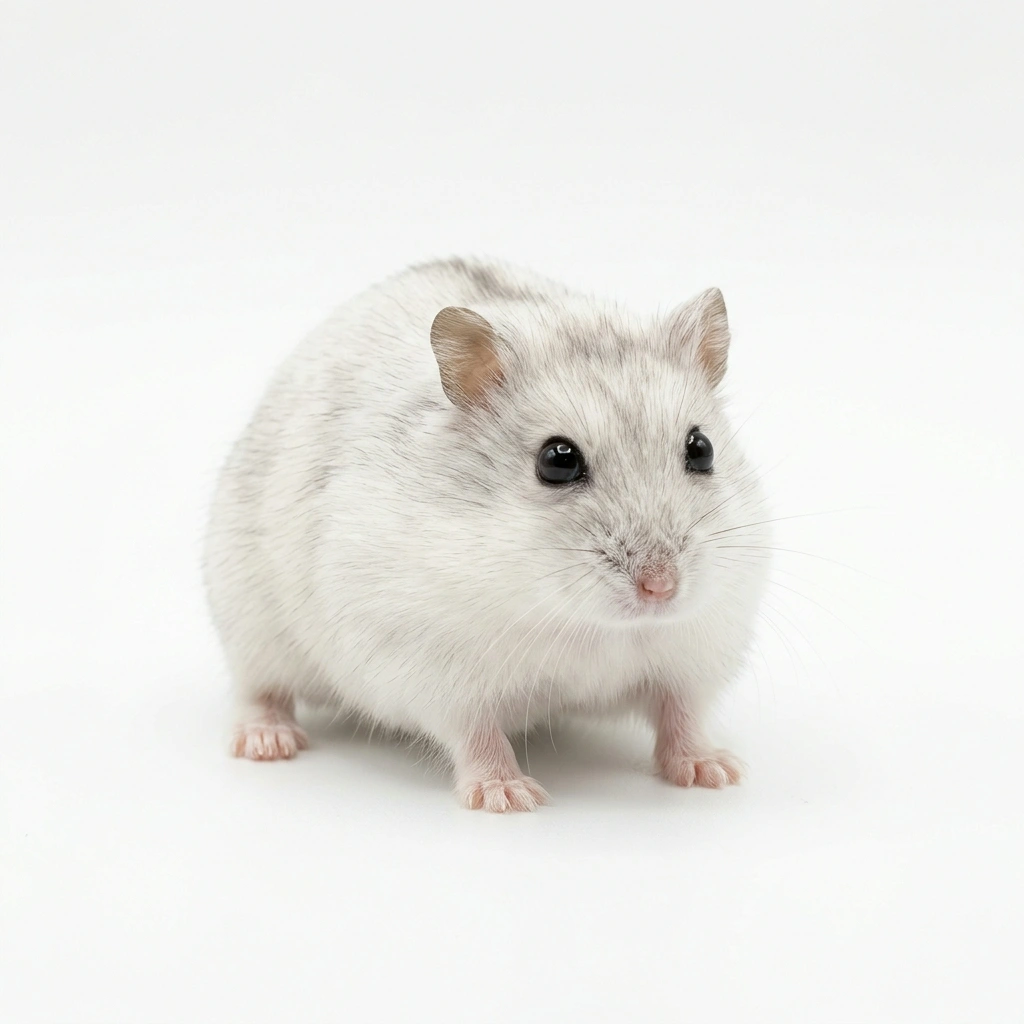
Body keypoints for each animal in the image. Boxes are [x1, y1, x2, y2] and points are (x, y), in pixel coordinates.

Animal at [204, 257, 769, 811]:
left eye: (701, 449)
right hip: (250, 625)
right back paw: (267, 743)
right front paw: (509, 796)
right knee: (259, 691)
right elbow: (476, 735)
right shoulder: (435, 670)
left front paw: (715, 772)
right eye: (557, 461)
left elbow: (682, 715)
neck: (588, 625)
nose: (661, 588)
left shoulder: (694, 654)